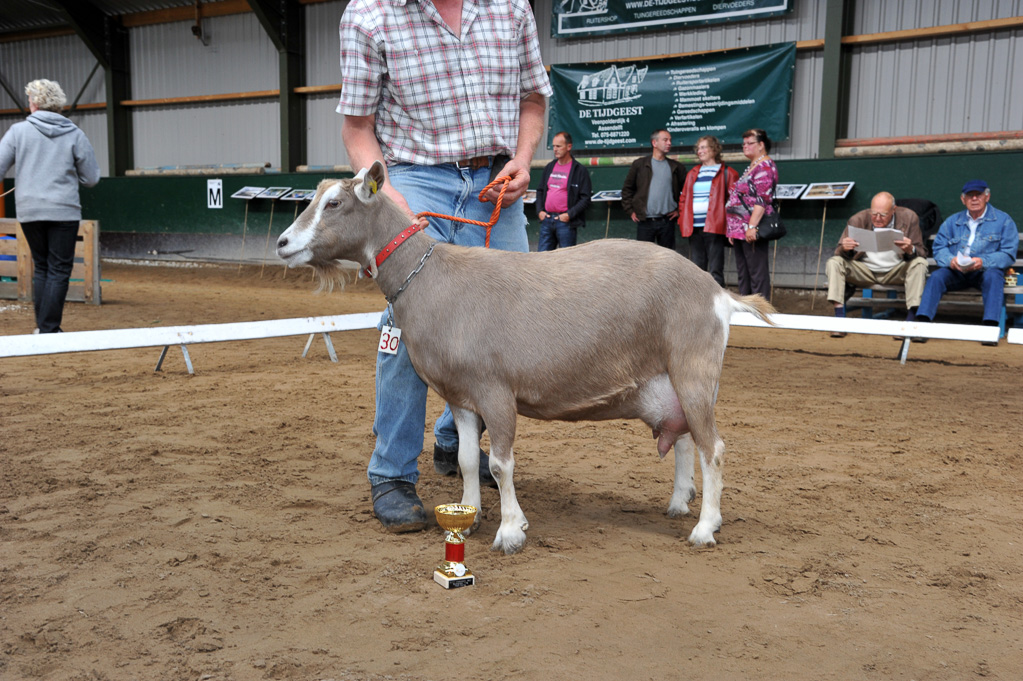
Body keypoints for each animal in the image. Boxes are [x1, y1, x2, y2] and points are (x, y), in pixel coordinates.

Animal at [276, 163, 769, 552]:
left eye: (334, 203)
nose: (282, 243)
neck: (431, 279)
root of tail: (717, 293)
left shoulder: (496, 391)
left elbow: (500, 463)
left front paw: (511, 531)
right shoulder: (461, 396)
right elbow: (468, 460)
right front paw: (470, 514)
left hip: (694, 369)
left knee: (712, 448)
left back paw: (705, 528)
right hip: (669, 379)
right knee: (685, 439)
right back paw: (678, 503)